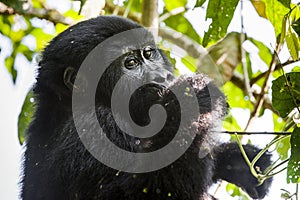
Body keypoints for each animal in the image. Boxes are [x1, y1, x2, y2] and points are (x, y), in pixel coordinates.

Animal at [20, 16, 272, 200]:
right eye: (130, 63)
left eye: (148, 54)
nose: (162, 77)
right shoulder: (93, 130)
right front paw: (191, 98)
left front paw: (237, 160)